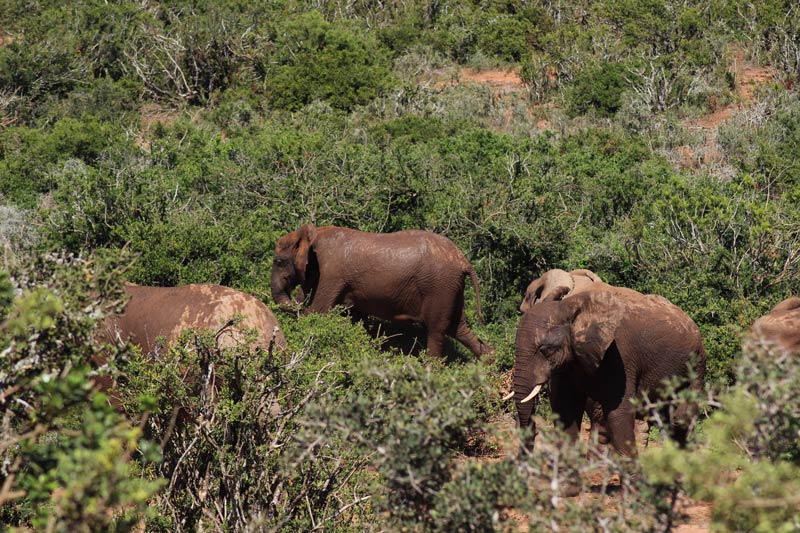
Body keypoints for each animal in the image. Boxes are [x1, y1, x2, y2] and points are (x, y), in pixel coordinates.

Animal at [272, 224, 490, 358]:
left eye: (279, 262)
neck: (313, 233)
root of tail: (464, 260)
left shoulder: (331, 273)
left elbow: (316, 312)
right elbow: (355, 318)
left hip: (440, 286)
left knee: (437, 330)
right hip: (451, 288)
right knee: (459, 328)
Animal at [512, 284, 708, 456]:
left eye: (545, 350)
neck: (570, 307)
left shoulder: (619, 354)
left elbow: (618, 412)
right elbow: (565, 408)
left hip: (697, 361)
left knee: (680, 419)